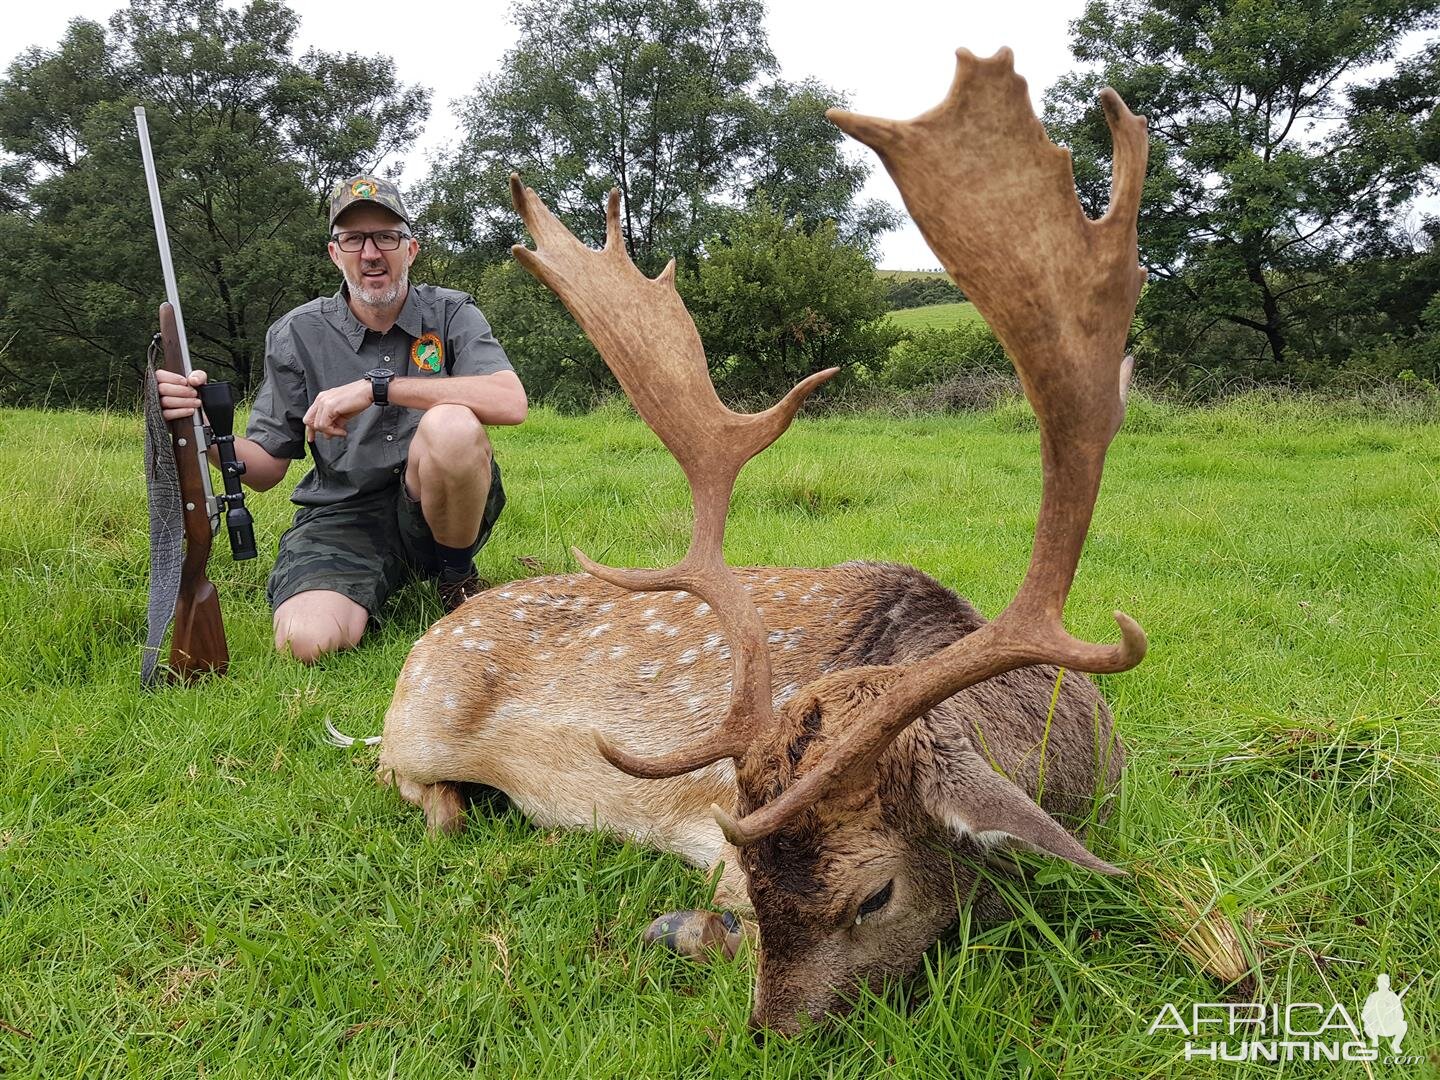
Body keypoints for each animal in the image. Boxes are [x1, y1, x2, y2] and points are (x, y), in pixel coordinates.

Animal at [357, 48, 1146, 1031]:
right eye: (751, 872)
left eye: (876, 894)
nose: (773, 1033)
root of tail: (432, 633)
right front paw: (681, 929)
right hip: (421, 716)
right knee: (398, 775)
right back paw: (459, 810)